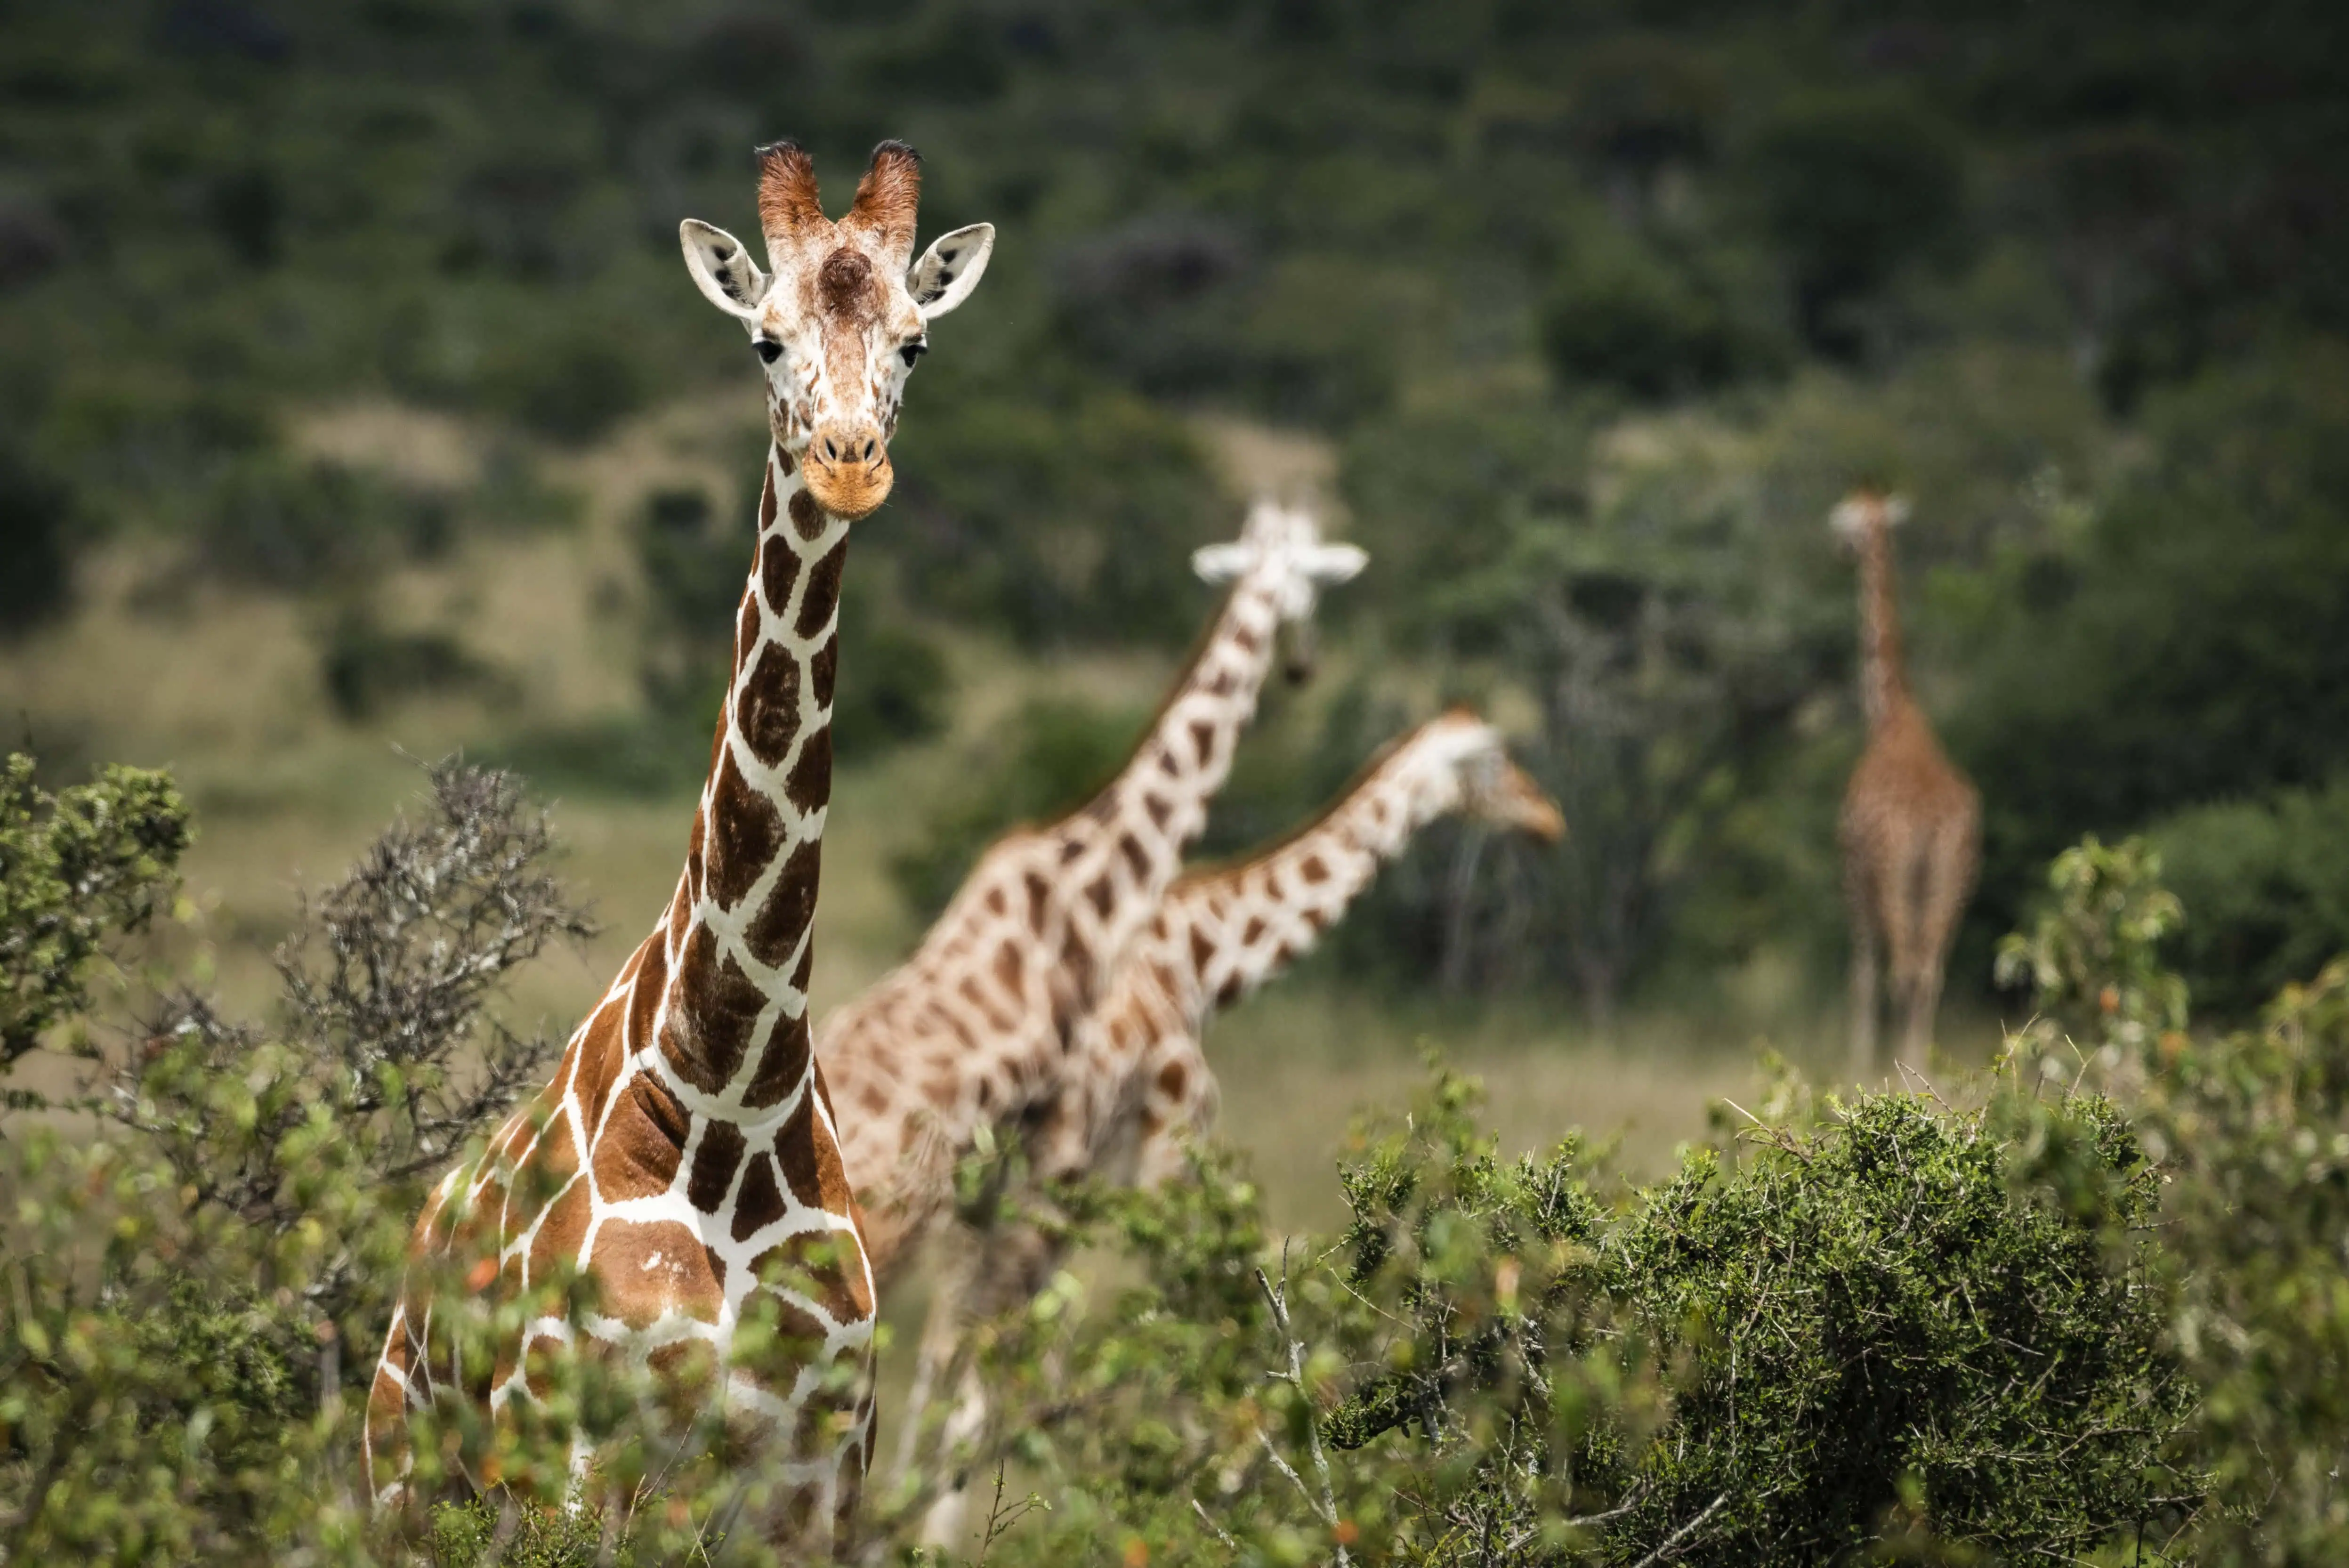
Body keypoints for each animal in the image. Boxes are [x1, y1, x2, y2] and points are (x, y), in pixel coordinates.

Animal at [363, 139, 996, 1546]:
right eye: (765, 338)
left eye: (916, 340)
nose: (848, 460)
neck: (728, 1092)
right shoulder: (587, 1463)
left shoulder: (821, 1474)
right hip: (410, 1492)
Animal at [904, 707, 1562, 1541]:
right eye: (1496, 760)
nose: (1548, 819)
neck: (1203, 959)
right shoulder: (1170, 1142)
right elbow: (1183, 1307)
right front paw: (1201, 1487)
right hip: (1044, 1184)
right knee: (976, 1339)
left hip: (984, 1194)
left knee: (947, 1342)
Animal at [1833, 488, 1981, 1073]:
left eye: (1844, 520)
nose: (1837, 547)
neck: (1889, 715)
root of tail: (1930, 822)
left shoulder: (1853, 879)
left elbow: (1862, 975)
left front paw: (1853, 1070)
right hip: (1951, 883)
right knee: (1929, 972)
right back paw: (1921, 1074)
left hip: (1893, 878)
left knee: (1903, 970)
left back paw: (1905, 1076)